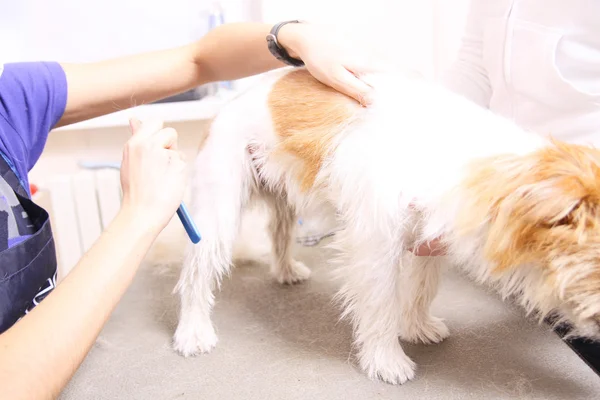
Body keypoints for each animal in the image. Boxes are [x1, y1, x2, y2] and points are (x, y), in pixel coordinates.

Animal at [171, 68, 600, 384]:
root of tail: (233, 100)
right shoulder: (374, 246)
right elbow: (380, 304)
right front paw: (386, 360)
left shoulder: (429, 241)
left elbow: (422, 290)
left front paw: (417, 326)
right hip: (217, 212)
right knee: (195, 275)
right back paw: (193, 331)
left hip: (283, 197)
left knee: (278, 233)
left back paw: (287, 270)